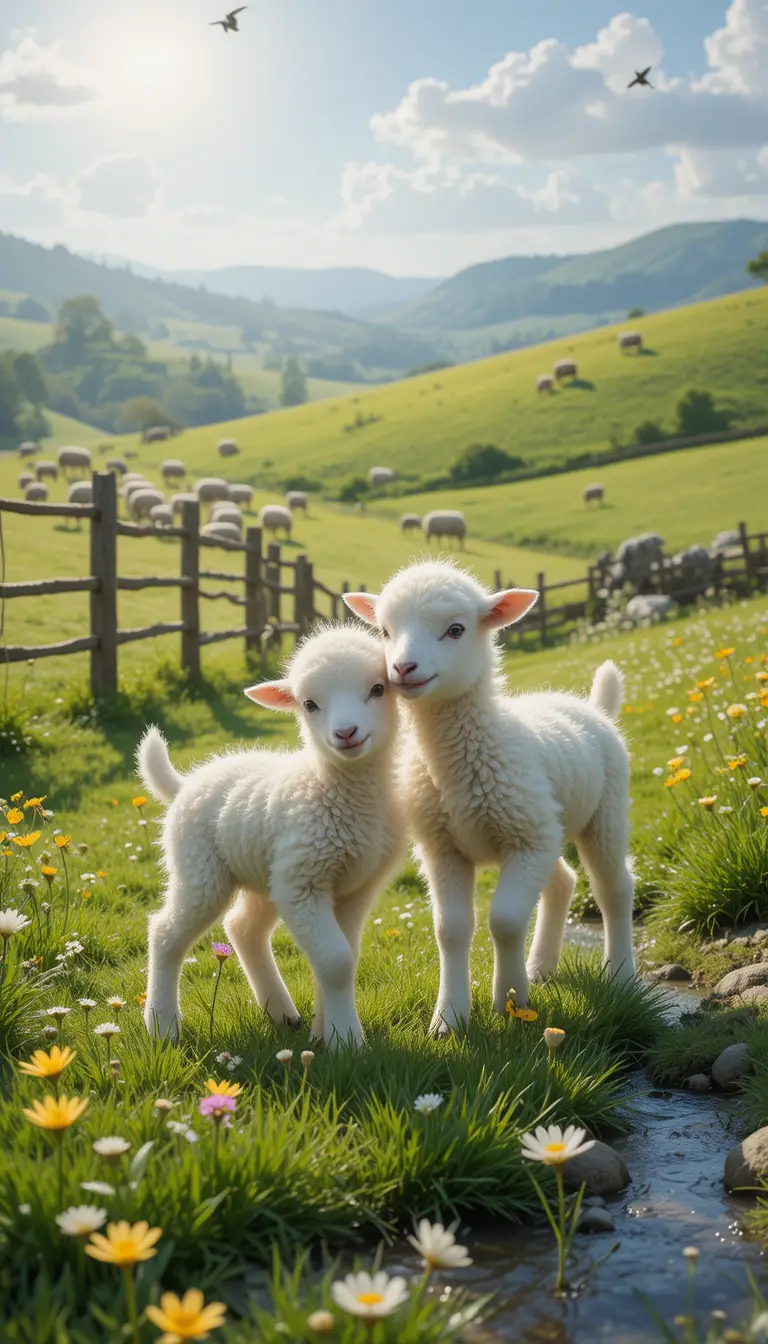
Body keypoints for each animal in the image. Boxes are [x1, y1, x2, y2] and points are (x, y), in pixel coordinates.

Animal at [137, 625, 404, 1046]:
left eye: (378, 689)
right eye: (310, 704)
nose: (346, 733)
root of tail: (185, 785)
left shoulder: (356, 886)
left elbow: (339, 958)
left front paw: (324, 1032)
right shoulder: (302, 882)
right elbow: (337, 961)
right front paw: (346, 1041)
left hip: (263, 875)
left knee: (243, 928)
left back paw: (281, 1013)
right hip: (199, 867)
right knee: (165, 933)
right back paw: (162, 1026)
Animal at [344, 561, 636, 1033]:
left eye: (456, 629)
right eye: (385, 631)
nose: (402, 668)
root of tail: (591, 707)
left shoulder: (525, 841)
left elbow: (506, 920)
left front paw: (510, 1002)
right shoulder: (445, 848)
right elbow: (451, 930)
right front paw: (449, 1018)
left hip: (603, 812)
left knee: (615, 888)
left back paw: (623, 975)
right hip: (545, 828)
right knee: (563, 881)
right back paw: (541, 967)